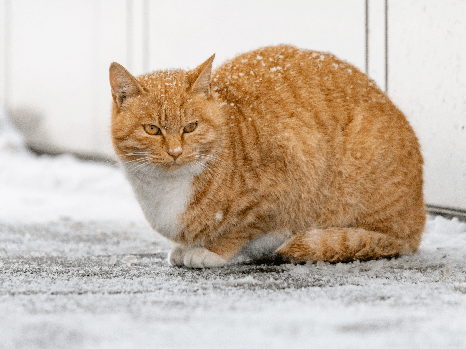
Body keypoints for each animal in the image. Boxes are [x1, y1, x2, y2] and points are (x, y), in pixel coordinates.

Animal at [109, 43, 426, 266]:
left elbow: (241, 229)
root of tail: (420, 214)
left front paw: (211, 251)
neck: (167, 188)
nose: (175, 152)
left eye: (191, 127)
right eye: (152, 129)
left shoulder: (285, 178)